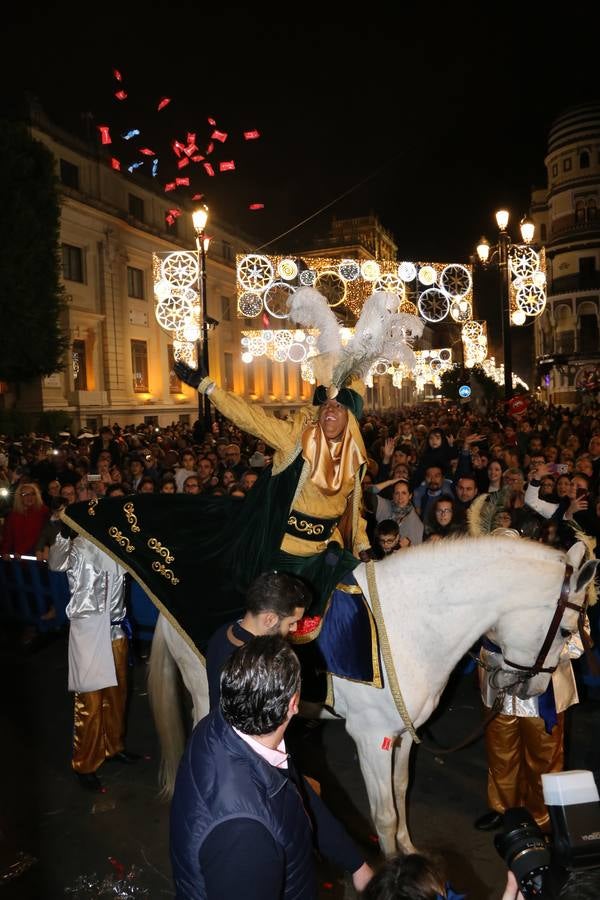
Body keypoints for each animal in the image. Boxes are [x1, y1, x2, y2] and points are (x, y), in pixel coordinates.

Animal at [146, 536, 596, 856]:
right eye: (567, 631)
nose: (534, 688)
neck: (407, 623)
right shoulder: (369, 739)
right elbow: (383, 814)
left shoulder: (401, 736)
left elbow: (400, 791)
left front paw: (408, 849)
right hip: (209, 695)